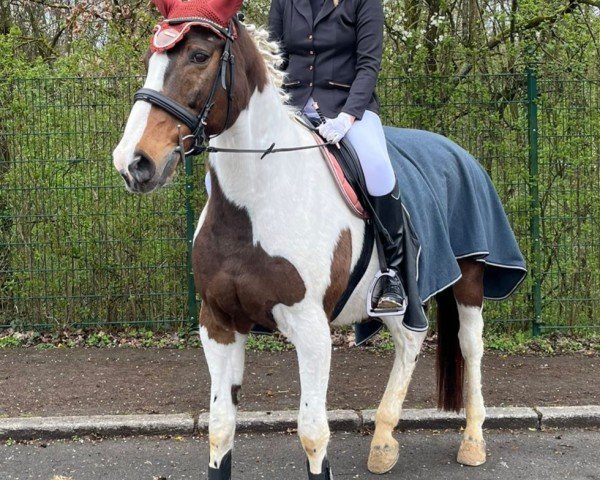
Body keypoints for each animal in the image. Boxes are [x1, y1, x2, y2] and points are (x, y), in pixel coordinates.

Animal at [112, 18, 524, 480]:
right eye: (150, 59)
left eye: (199, 56)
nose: (133, 162)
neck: (258, 197)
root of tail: (457, 151)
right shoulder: (218, 322)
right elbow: (220, 428)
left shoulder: (311, 329)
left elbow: (312, 432)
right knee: (409, 341)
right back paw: (383, 441)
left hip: (469, 278)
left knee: (470, 346)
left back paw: (472, 439)